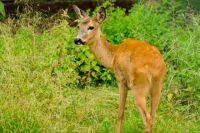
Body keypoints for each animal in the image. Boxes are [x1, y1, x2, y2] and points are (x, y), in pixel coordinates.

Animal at [72, 5, 166, 133]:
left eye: (91, 27)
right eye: (79, 26)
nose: (77, 40)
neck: (113, 56)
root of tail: (155, 68)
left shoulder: (121, 80)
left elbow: (120, 113)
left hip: (138, 88)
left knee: (147, 119)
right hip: (157, 88)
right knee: (152, 117)